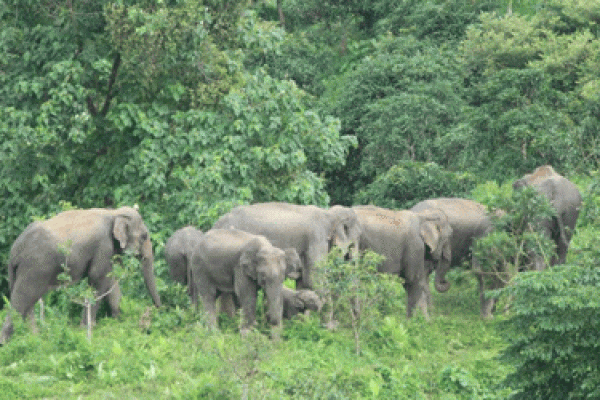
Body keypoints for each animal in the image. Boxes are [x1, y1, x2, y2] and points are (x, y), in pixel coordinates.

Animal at [0, 206, 162, 344]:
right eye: (144, 236)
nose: (158, 310)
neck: (114, 212)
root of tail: (15, 249)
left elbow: (111, 282)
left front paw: (118, 321)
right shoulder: (103, 246)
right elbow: (98, 279)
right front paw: (87, 329)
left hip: (18, 271)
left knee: (27, 302)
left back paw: (35, 339)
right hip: (35, 267)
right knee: (23, 299)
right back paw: (7, 343)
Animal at [211, 202, 360, 290]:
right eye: (356, 239)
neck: (329, 213)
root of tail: (217, 224)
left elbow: (304, 283)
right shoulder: (316, 238)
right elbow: (313, 280)